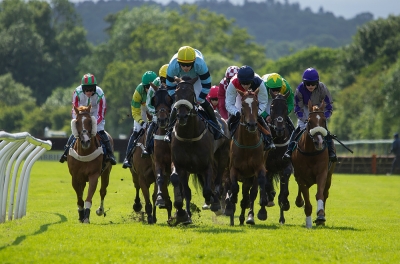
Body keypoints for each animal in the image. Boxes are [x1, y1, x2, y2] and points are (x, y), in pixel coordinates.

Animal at [169, 76, 230, 225]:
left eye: (191, 93)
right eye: (176, 94)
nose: (182, 116)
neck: (189, 137)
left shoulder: (207, 165)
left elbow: (207, 190)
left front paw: (213, 201)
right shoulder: (180, 165)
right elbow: (183, 188)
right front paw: (183, 215)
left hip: (223, 155)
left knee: (218, 180)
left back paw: (216, 201)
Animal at [225, 88, 272, 225]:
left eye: (257, 103)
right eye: (243, 105)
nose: (251, 125)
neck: (247, 144)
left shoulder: (259, 168)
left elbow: (255, 191)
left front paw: (259, 212)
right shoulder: (233, 169)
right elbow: (234, 187)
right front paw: (231, 201)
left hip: (249, 177)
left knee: (248, 194)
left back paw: (245, 217)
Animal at [292, 100, 336, 228]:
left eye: (324, 121)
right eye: (310, 121)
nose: (319, 142)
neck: (311, 153)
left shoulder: (322, 173)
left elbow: (319, 195)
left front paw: (320, 216)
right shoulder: (301, 177)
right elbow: (306, 200)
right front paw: (308, 223)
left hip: (329, 176)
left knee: (325, 194)